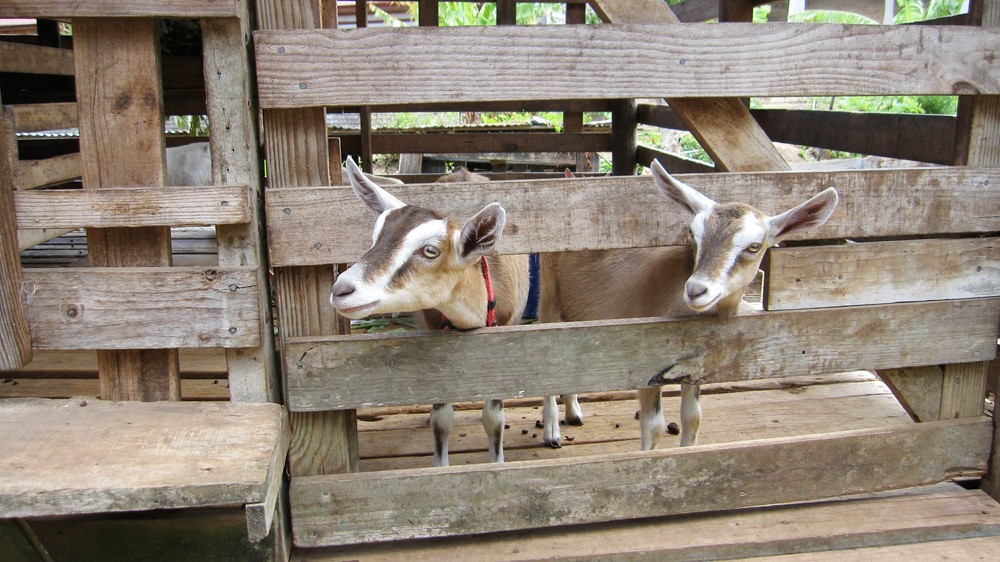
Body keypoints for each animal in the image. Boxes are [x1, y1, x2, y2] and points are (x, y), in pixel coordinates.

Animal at [328, 156, 532, 464]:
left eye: (430, 251)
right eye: (375, 238)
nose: (341, 289)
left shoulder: (505, 340)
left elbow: (494, 420)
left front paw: (497, 463)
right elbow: (441, 421)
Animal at [540, 160, 836, 448]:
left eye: (754, 246)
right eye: (693, 233)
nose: (696, 290)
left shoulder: (695, 365)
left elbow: (693, 418)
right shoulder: (646, 363)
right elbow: (654, 427)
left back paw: (574, 412)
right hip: (548, 297)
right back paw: (552, 430)